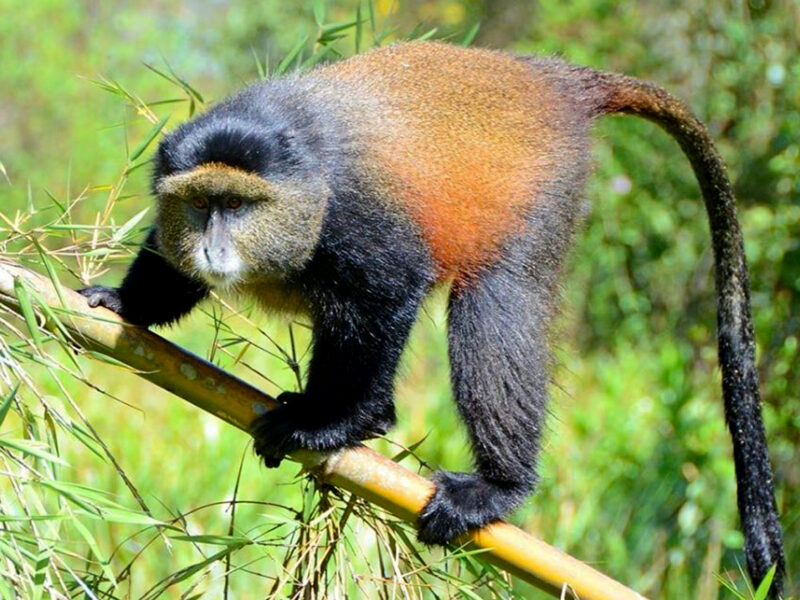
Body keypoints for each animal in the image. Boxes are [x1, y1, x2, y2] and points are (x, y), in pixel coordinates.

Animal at [78, 42, 785, 596]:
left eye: (238, 205)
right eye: (201, 204)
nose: (213, 248)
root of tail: (556, 80)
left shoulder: (358, 217)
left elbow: (388, 294)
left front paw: (338, 424)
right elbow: (167, 265)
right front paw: (124, 304)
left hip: (538, 192)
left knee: (495, 302)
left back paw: (496, 485)